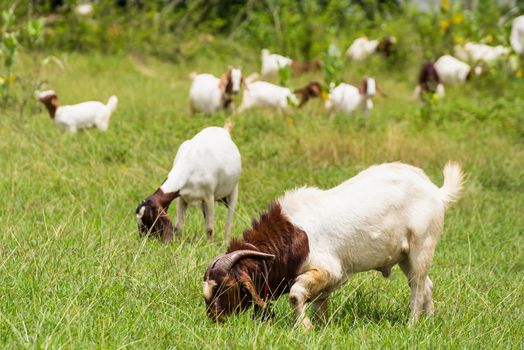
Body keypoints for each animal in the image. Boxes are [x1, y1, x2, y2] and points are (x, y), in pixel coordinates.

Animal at [203, 161, 464, 328]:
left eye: (226, 287)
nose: (214, 320)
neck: (290, 233)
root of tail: (436, 193)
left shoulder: (330, 270)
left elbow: (296, 295)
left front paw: (305, 328)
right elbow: (319, 304)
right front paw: (322, 328)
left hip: (422, 245)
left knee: (418, 288)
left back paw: (411, 325)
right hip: (405, 256)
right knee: (426, 284)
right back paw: (428, 321)